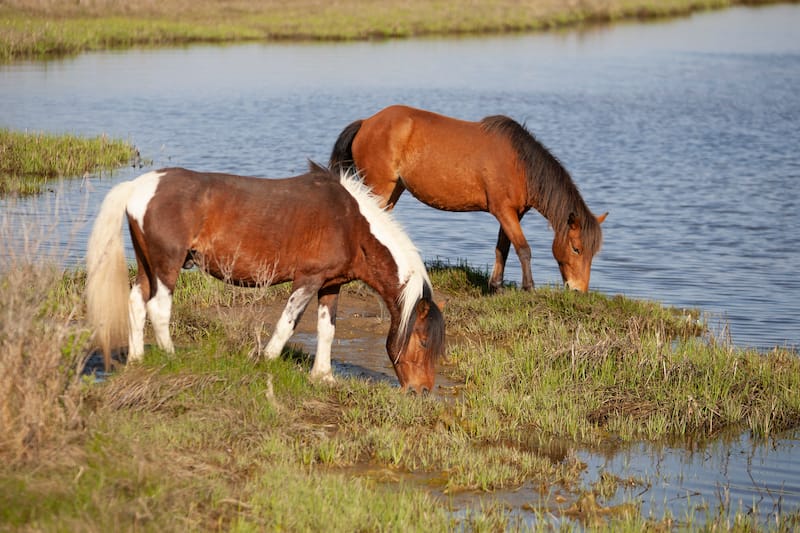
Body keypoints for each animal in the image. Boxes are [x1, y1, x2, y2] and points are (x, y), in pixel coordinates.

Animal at [88, 162, 450, 390]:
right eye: (423, 340)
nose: (422, 390)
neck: (352, 223)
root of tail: (139, 186)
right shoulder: (308, 280)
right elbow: (288, 323)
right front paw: (266, 360)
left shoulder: (330, 285)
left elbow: (327, 330)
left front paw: (323, 376)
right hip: (167, 264)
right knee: (158, 307)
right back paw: (171, 357)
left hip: (147, 264)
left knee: (136, 302)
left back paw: (137, 359)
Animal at [330, 105, 608, 290]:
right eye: (576, 248)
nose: (579, 291)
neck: (520, 164)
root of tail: (366, 122)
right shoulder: (503, 211)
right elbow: (523, 249)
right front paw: (528, 288)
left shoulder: (511, 214)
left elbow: (503, 249)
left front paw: (495, 286)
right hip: (379, 187)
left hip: (392, 190)